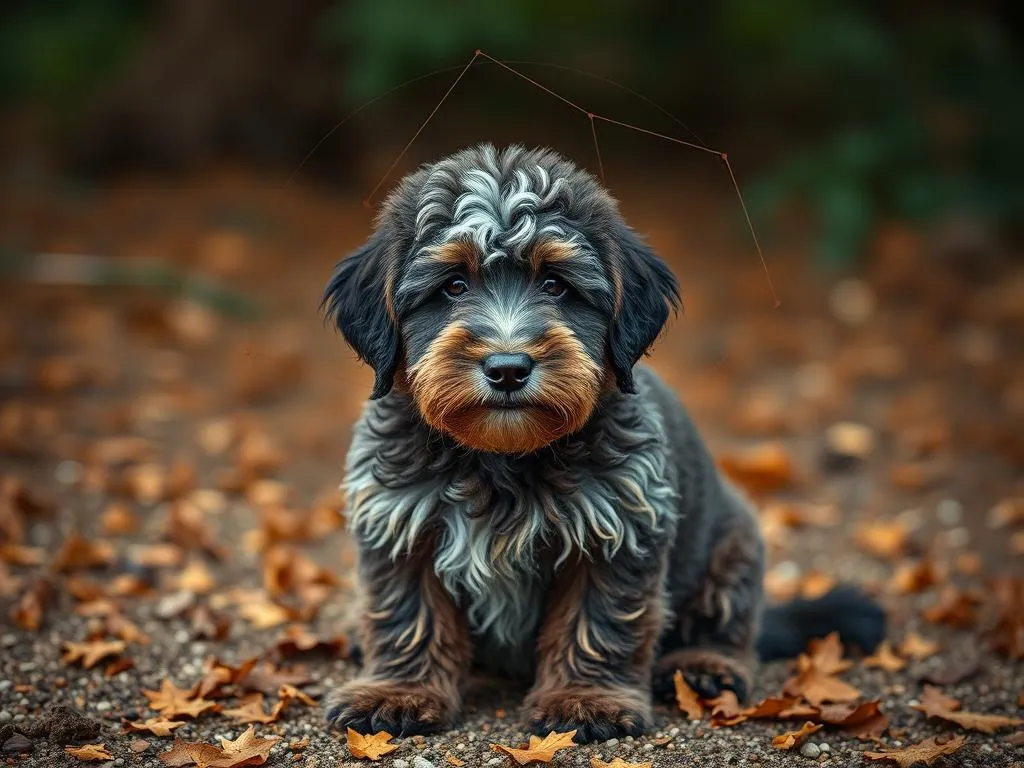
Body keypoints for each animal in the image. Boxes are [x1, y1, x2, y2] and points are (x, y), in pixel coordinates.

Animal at [319, 145, 880, 745]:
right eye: (453, 285)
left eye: (555, 284)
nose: (508, 367)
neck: (502, 460)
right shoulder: (401, 521)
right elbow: (408, 615)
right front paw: (398, 693)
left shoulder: (618, 527)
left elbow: (598, 620)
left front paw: (586, 700)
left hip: (733, 541)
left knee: (728, 624)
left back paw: (704, 665)